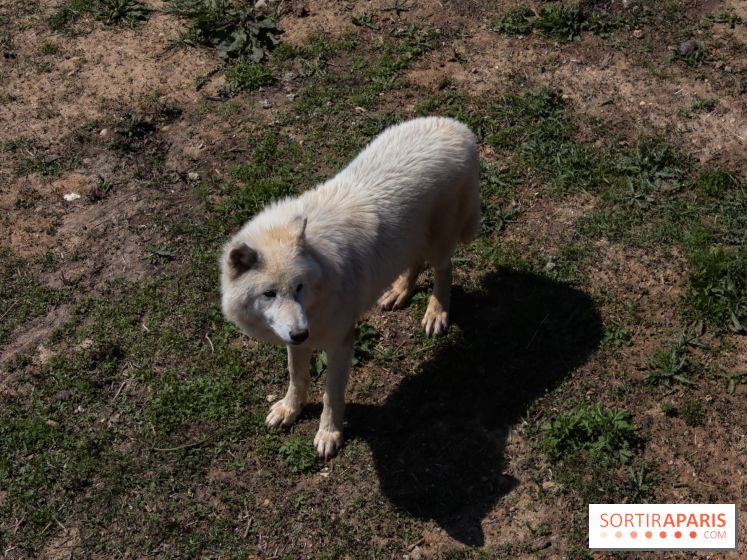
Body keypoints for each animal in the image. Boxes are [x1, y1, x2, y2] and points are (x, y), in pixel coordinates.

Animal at [220, 116, 480, 459]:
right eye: (269, 294)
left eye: (299, 287)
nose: (301, 333)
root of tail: (459, 127)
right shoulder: (296, 338)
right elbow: (297, 376)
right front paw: (290, 409)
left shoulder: (341, 342)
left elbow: (331, 394)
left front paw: (329, 434)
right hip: (409, 240)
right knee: (416, 262)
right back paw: (398, 292)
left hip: (440, 243)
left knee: (443, 269)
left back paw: (436, 313)